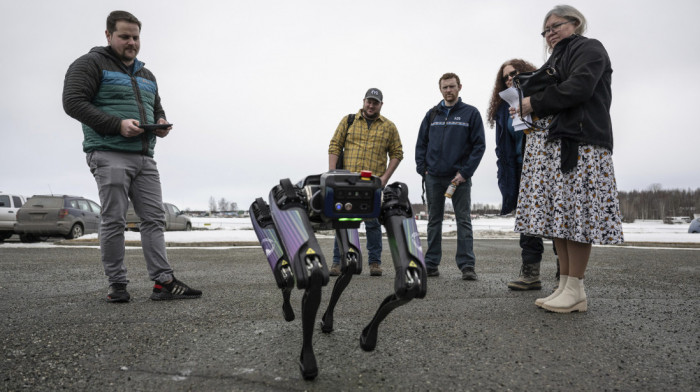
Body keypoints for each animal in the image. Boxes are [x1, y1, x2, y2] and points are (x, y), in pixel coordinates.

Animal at [250, 169, 426, 380]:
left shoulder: (390, 205)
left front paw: (368, 335)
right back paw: (288, 306)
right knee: (289, 273)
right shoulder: (289, 200)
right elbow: (313, 276)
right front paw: (307, 361)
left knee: (350, 262)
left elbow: (406, 286)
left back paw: (326, 319)